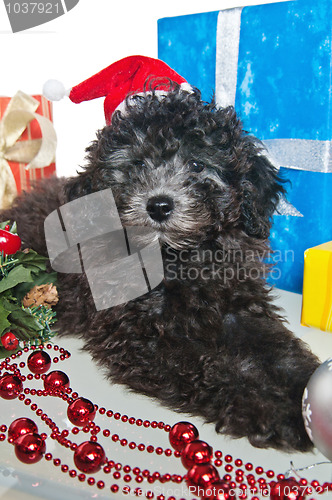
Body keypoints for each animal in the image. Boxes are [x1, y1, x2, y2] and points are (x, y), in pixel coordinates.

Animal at [1, 87, 320, 454]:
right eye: (137, 164)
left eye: (197, 164)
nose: (159, 205)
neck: (176, 257)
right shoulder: (140, 333)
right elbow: (211, 367)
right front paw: (268, 408)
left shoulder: (237, 308)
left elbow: (279, 350)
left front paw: (303, 393)